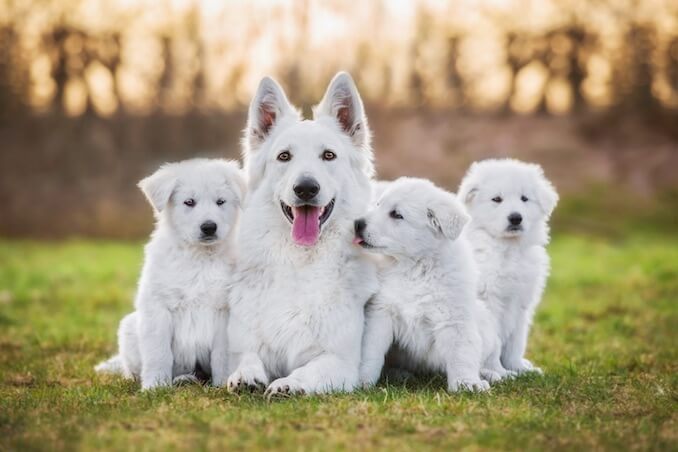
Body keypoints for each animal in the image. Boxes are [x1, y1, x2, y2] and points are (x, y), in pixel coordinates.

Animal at [94, 159, 246, 388]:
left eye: (221, 202)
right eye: (189, 202)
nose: (209, 227)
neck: (198, 257)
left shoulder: (224, 311)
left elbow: (222, 354)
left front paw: (221, 384)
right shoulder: (157, 307)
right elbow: (159, 352)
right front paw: (154, 386)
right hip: (129, 328)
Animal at [354, 177, 508, 392]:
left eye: (396, 215)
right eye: (378, 204)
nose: (357, 223)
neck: (414, 268)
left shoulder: (455, 318)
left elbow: (462, 353)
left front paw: (466, 384)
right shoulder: (381, 313)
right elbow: (371, 350)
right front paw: (362, 381)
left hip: (486, 324)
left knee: (491, 359)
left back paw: (494, 375)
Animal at [460, 159, 560, 374]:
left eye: (524, 198)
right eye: (497, 199)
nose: (515, 218)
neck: (508, 248)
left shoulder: (521, 304)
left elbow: (516, 341)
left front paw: (520, 369)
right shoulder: (489, 303)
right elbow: (496, 342)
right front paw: (500, 372)